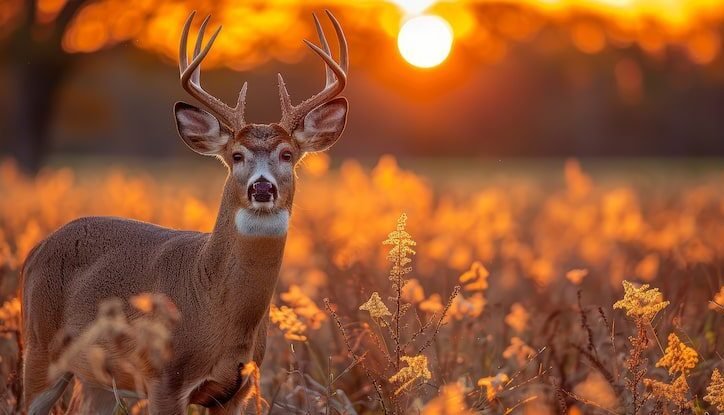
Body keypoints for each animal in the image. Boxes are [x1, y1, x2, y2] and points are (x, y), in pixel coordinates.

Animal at [21, 10, 349, 415]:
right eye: (236, 156)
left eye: (287, 154)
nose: (262, 187)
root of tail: (36, 250)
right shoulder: (164, 379)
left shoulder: (237, 389)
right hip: (38, 348)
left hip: (97, 380)